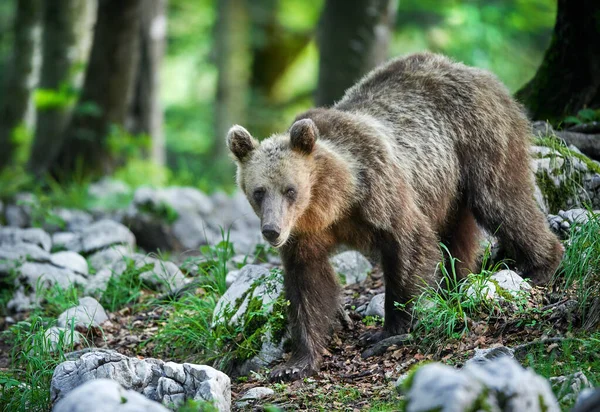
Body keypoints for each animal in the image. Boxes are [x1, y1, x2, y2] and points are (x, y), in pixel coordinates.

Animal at [225, 53, 564, 382]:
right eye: (258, 191)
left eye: (290, 189)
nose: (272, 231)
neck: (333, 203)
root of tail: (479, 74)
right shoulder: (304, 235)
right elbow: (308, 285)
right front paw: (295, 363)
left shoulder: (379, 191)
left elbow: (409, 244)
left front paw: (387, 330)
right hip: (447, 185)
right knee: (458, 235)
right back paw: (455, 283)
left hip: (479, 139)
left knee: (503, 202)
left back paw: (540, 264)